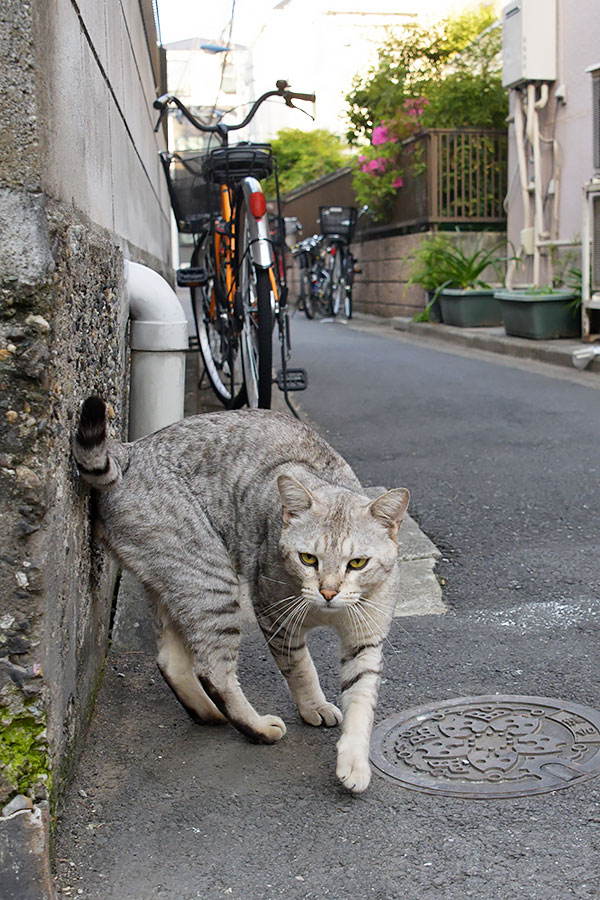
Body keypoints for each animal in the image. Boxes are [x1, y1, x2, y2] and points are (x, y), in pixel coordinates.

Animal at [74, 398, 408, 792]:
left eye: (357, 563)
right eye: (308, 559)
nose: (328, 591)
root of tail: (130, 451)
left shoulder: (365, 640)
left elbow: (362, 698)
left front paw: (354, 762)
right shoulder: (273, 614)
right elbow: (300, 668)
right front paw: (313, 707)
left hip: (174, 582)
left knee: (171, 660)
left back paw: (209, 714)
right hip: (211, 581)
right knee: (213, 670)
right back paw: (258, 727)